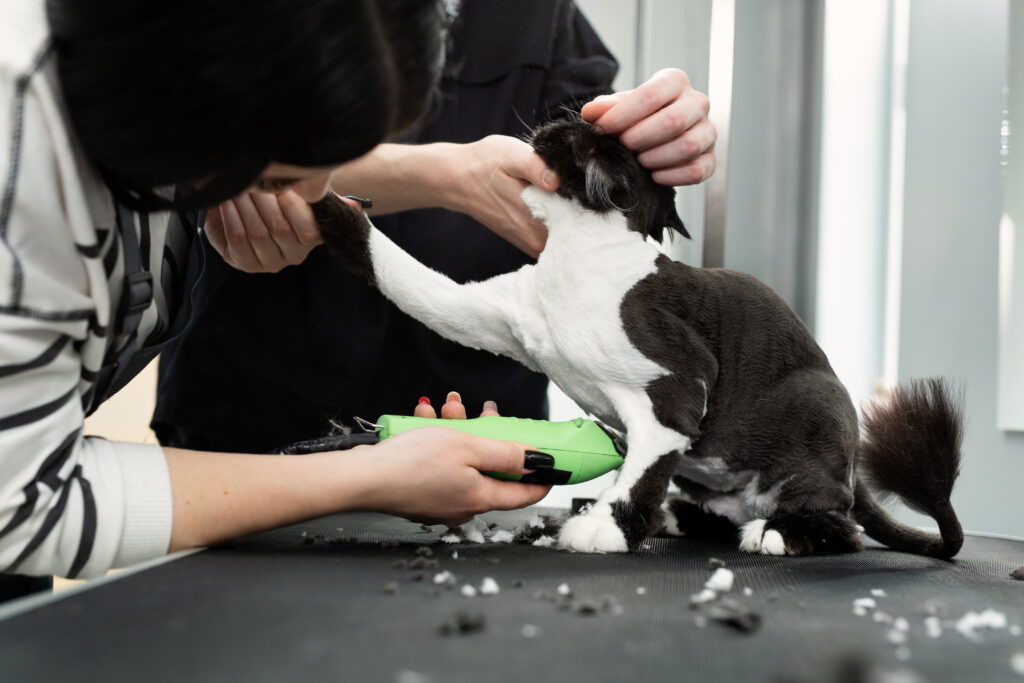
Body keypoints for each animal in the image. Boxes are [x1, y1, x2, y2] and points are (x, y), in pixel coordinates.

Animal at [315, 118, 962, 561]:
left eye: (584, 133)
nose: (557, 119)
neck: (580, 253)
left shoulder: (675, 387)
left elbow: (642, 469)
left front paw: (608, 525)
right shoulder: (481, 314)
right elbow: (392, 268)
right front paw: (318, 201)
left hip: (817, 410)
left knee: (841, 524)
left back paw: (774, 532)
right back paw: (677, 518)